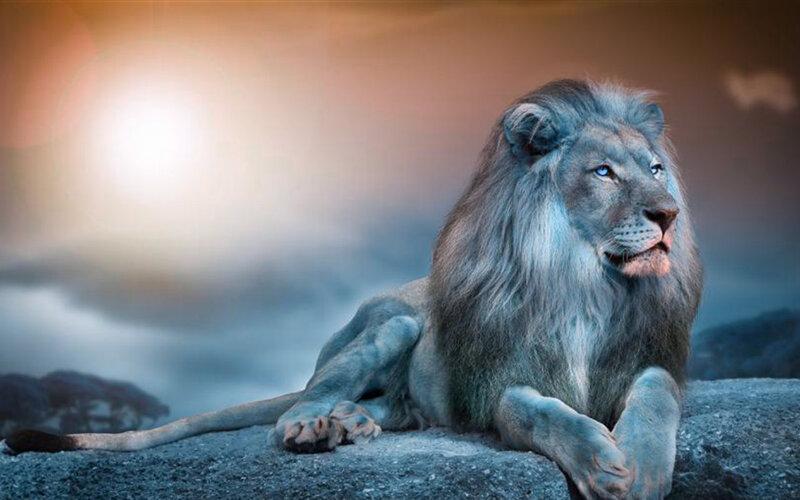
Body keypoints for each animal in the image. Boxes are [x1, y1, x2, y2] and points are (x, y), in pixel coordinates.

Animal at [6, 79, 702, 500]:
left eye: (657, 169)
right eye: (603, 173)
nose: (669, 214)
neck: (586, 284)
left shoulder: (647, 358)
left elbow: (656, 392)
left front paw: (641, 466)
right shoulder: (495, 383)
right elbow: (535, 411)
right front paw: (603, 463)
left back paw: (351, 424)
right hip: (394, 324)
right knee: (296, 405)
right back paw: (315, 426)